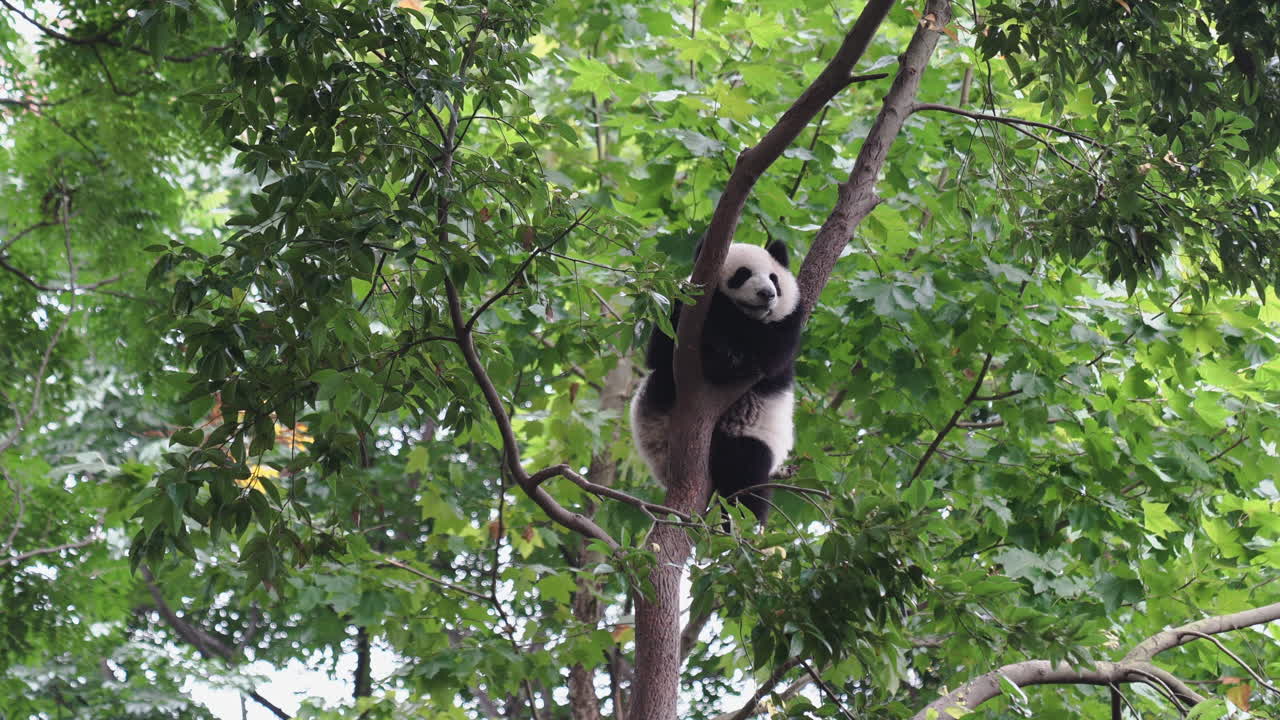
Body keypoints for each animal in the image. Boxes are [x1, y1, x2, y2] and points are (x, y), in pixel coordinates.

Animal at [630, 240, 803, 525]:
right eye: (742, 274)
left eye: (774, 278)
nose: (767, 294)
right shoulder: (678, 316)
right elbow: (659, 354)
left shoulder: (785, 329)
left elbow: (769, 352)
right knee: (662, 382)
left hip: (753, 435)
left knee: (745, 475)